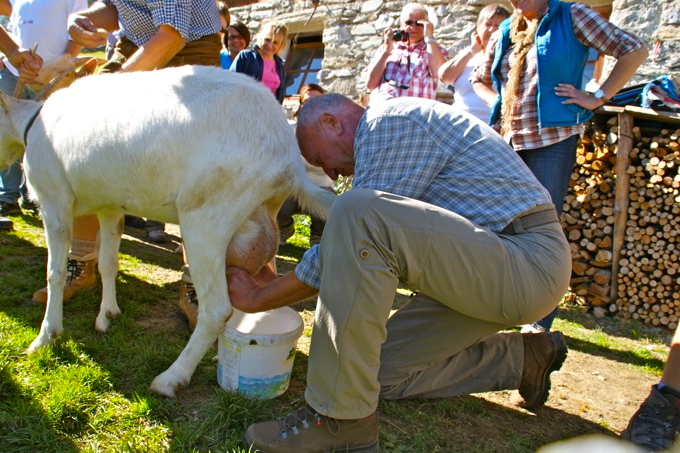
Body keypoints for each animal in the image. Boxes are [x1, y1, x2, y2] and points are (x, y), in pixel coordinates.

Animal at [0, 65, 336, 398]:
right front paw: (107, 316)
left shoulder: (54, 202)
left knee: (216, 310)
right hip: (259, 223)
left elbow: (54, 273)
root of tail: (289, 159)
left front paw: (45, 338)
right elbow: (108, 263)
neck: (32, 125)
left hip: (207, 221)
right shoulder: (110, 208)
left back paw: (170, 378)